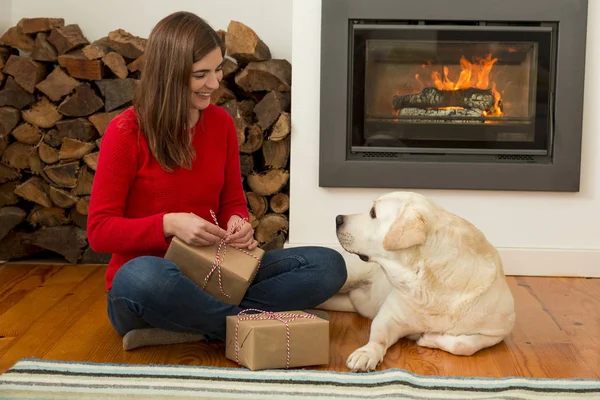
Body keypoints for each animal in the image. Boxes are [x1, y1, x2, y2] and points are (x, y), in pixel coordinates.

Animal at [318, 191, 516, 372]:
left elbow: (464, 345)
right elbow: (378, 337)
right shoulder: (390, 316)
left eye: (373, 212)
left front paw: (430, 338)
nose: (338, 219)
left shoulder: (497, 332)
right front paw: (367, 353)